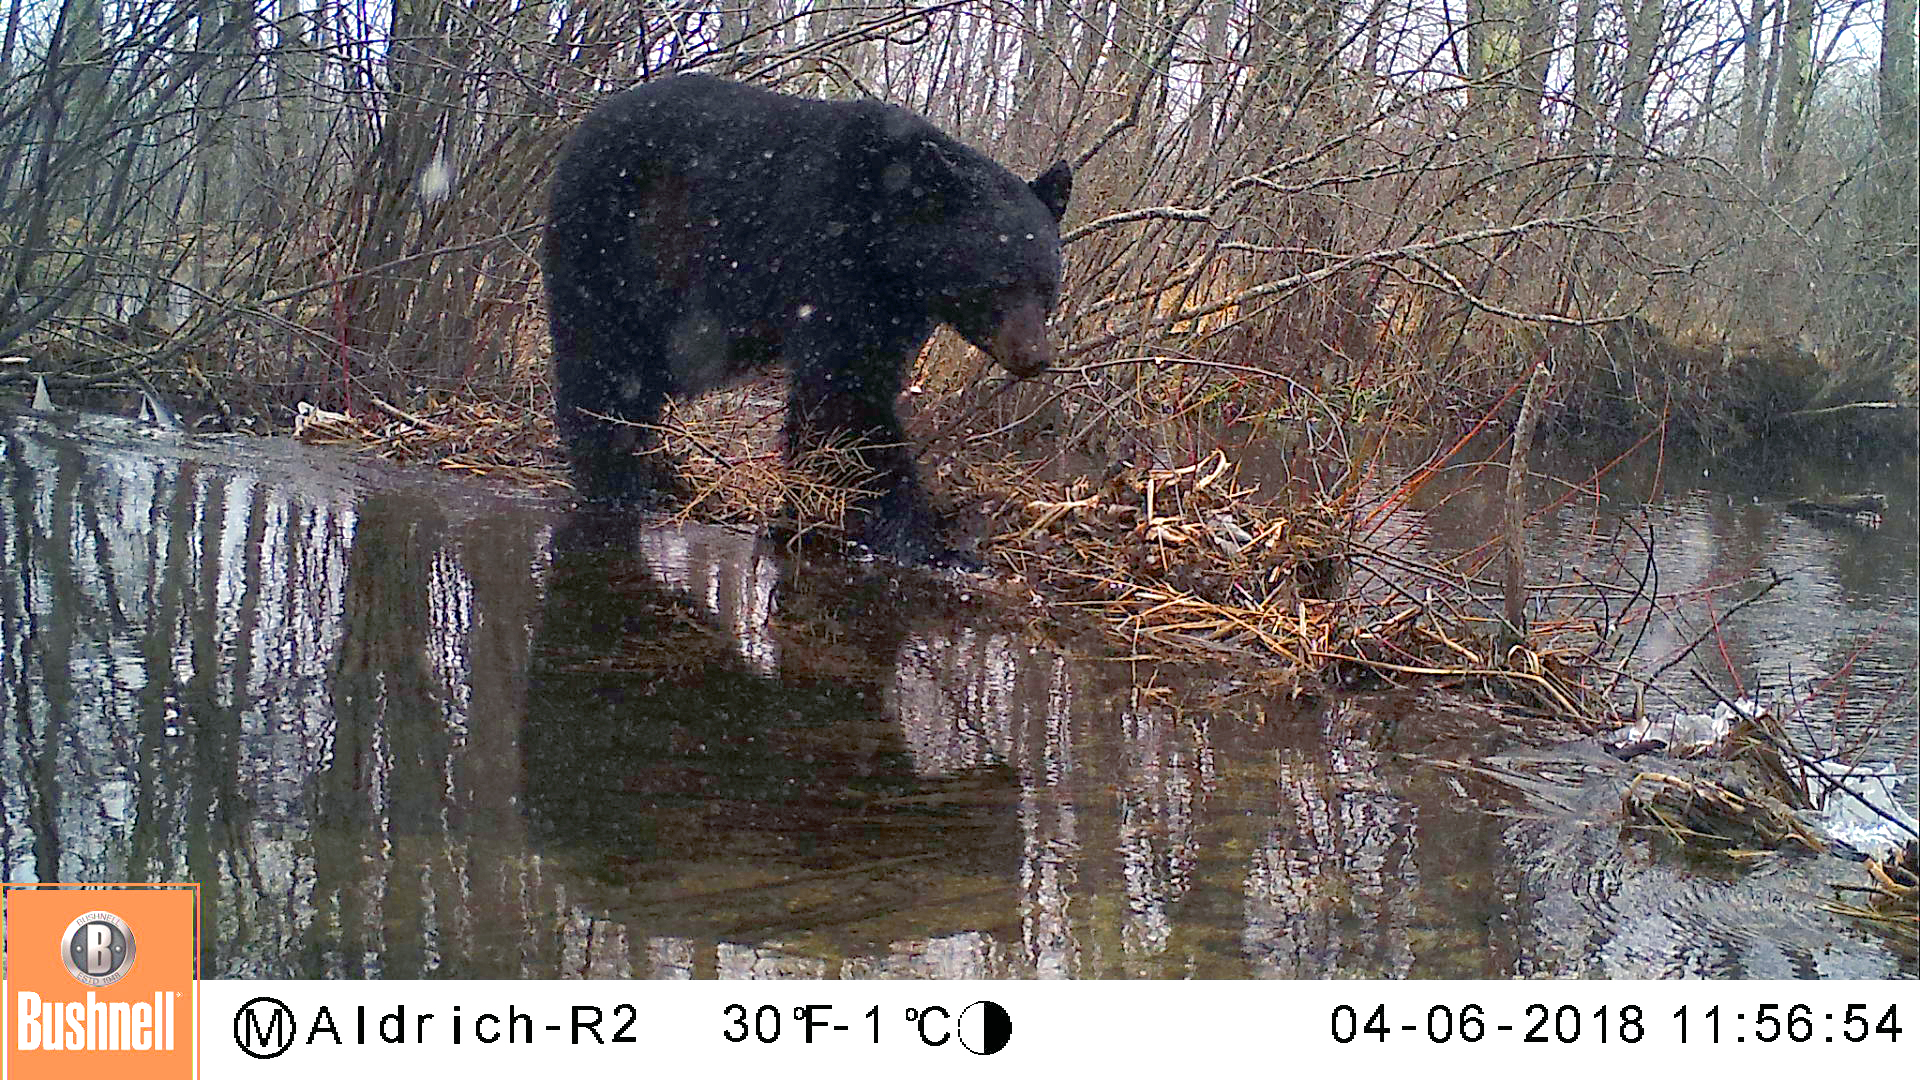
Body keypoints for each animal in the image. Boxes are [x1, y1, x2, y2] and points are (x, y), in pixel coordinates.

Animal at [549, 73, 1075, 564]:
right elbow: (846, 390)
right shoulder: (831, 254)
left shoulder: (899, 308)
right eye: (999, 281)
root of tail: (582, 131)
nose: (1034, 358)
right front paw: (917, 536)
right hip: (615, 246)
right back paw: (614, 476)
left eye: (1047, 285)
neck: (888, 233)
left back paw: (658, 469)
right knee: (602, 357)